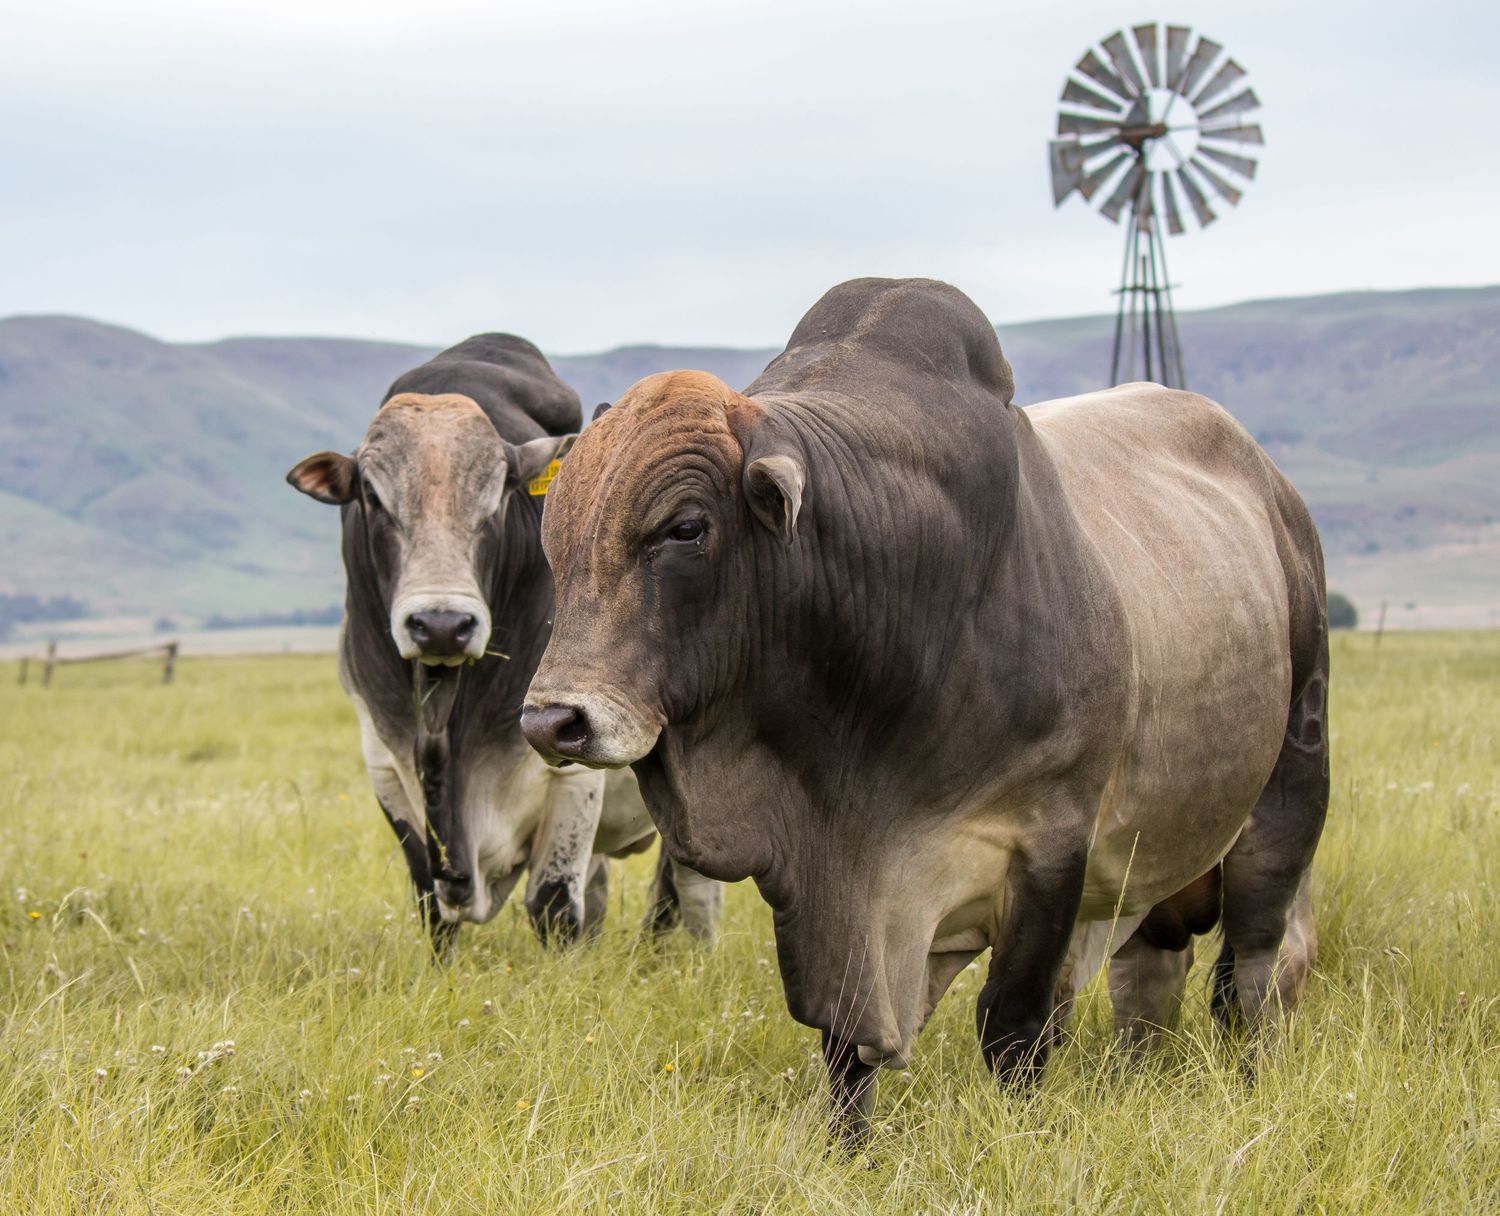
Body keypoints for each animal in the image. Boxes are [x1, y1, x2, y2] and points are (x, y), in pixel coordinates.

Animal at [286, 334, 720, 951]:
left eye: (497, 498)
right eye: (371, 494)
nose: (442, 624)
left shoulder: (574, 769)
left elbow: (554, 908)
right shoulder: (385, 767)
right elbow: (433, 910)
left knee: (690, 886)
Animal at [520, 279, 1329, 1141]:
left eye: (685, 528)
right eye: (554, 532)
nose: (552, 721)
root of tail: (1277, 494)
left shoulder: (1051, 844)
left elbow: (1015, 1024)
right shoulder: (829, 889)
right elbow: (845, 1042)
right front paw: (847, 1149)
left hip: (1286, 798)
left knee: (1251, 973)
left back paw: (1249, 1082)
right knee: (1147, 978)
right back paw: (1134, 1075)